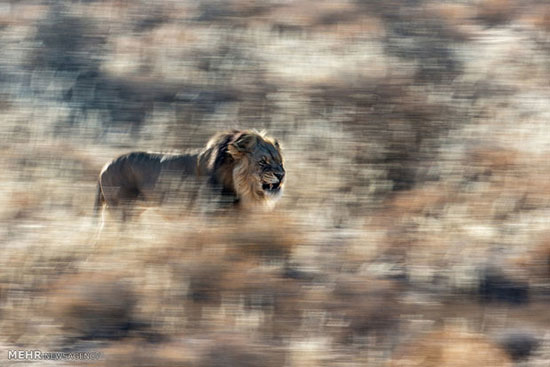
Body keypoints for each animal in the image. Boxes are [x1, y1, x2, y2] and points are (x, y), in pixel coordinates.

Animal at [93, 131, 286, 223]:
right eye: (263, 161)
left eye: (280, 161)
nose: (281, 175)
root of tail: (104, 166)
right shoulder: (208, 213)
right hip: (123, 210)